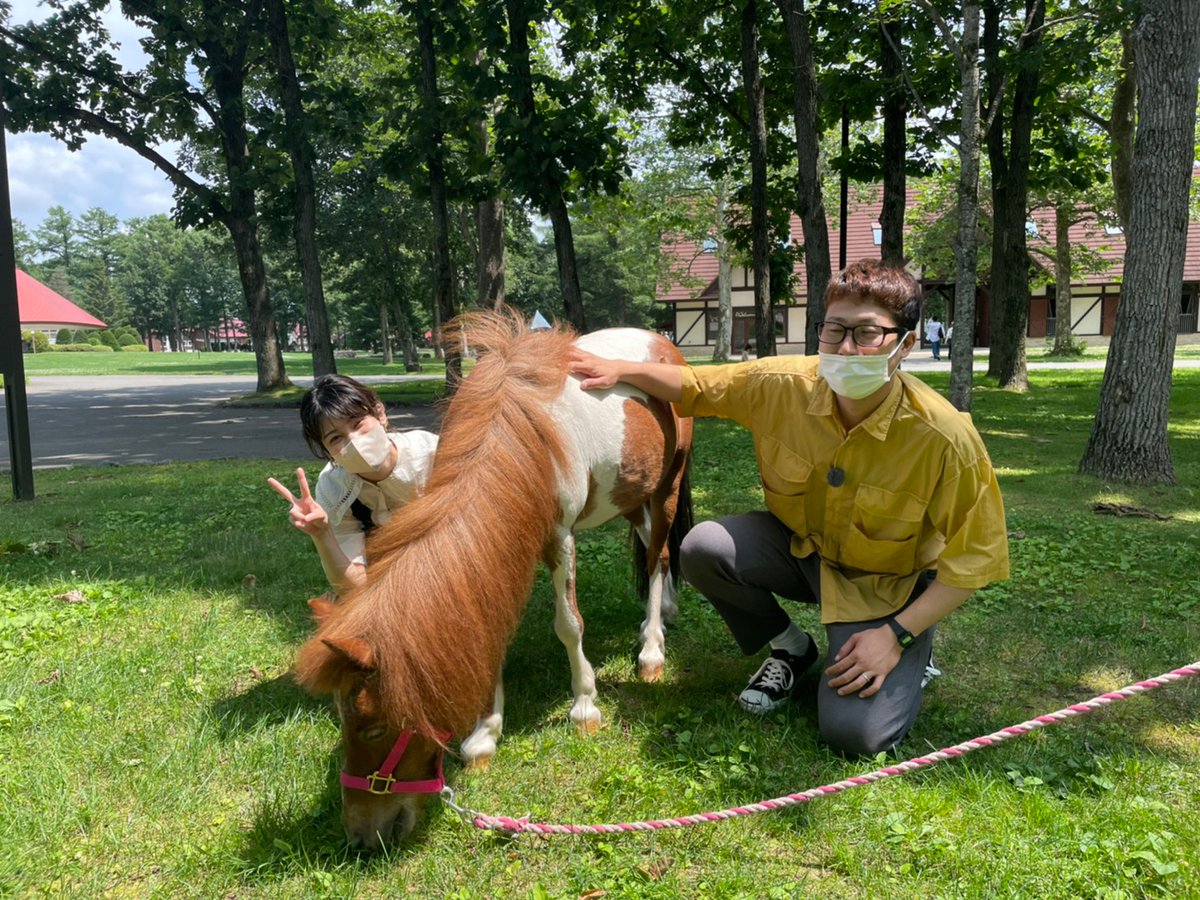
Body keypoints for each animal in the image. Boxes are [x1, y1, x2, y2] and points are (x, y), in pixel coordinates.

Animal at [294, 310, 693, 849]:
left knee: (657, 557)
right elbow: (490, 628)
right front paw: (485, 734)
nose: (361, 836)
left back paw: (652, 649)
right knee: (651, 547)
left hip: (667, 484)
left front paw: (585, 706)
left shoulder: (559, 537)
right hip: (633, 491)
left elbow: (569, 625)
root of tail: (661, 342)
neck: (517, 440)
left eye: (373, 727)